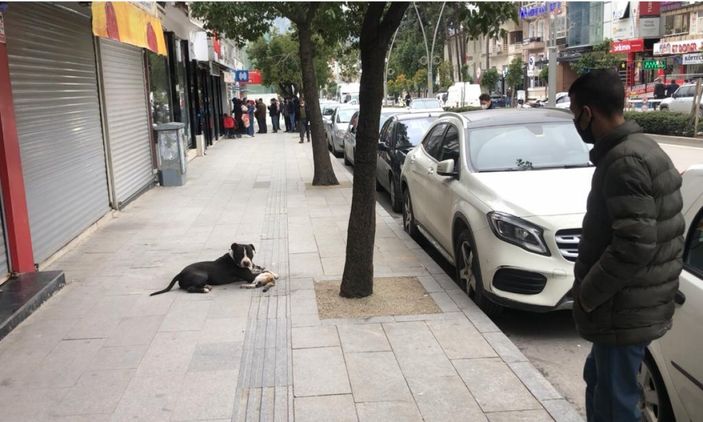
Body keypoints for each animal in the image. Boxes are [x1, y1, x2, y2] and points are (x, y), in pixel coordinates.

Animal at [150, 242, 280, 296]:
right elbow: (262, 272)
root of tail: (180, 273)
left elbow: (263, 268)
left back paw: (206, 286)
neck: (234, 259)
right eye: (239, 254)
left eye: (249, 253)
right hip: (202, 275)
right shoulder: (248, 275)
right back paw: (204, 290)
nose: (246, 262)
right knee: (189, 288)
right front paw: (270, 275)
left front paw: (274, 274)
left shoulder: (252, 267)